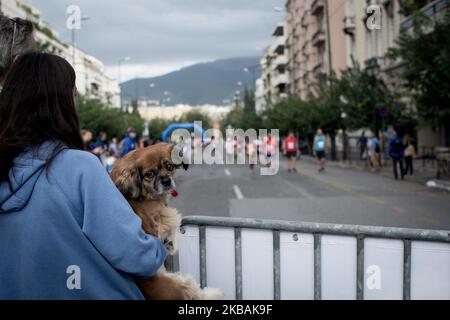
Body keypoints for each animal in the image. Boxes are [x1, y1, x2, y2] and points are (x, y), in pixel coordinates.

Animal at [110, 143, 223, 300]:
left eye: (169, 167)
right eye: (149, 174)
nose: (166, 181)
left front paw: (170, 243)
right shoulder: (160, 214)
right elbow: (171, 221)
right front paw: (171, 242)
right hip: (178, 286)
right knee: (193, 294)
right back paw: (213, 293)